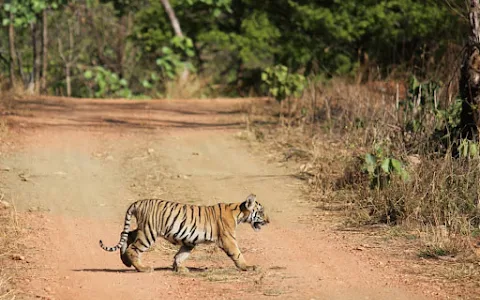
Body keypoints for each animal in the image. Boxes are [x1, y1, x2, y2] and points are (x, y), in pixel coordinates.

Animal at [99, 193, 268, 274]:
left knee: (127, 235)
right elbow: (238, 254)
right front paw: (248, 267)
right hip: (148, 232)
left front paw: (179, 268)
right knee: (133, 249)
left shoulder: (190, 240)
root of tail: (139, 202)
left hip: (143, 229)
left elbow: (180, 255)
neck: (239, 212)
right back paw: (143, 268)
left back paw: (125, 261)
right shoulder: (228, 239)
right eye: (261, 212)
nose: (269, 220)